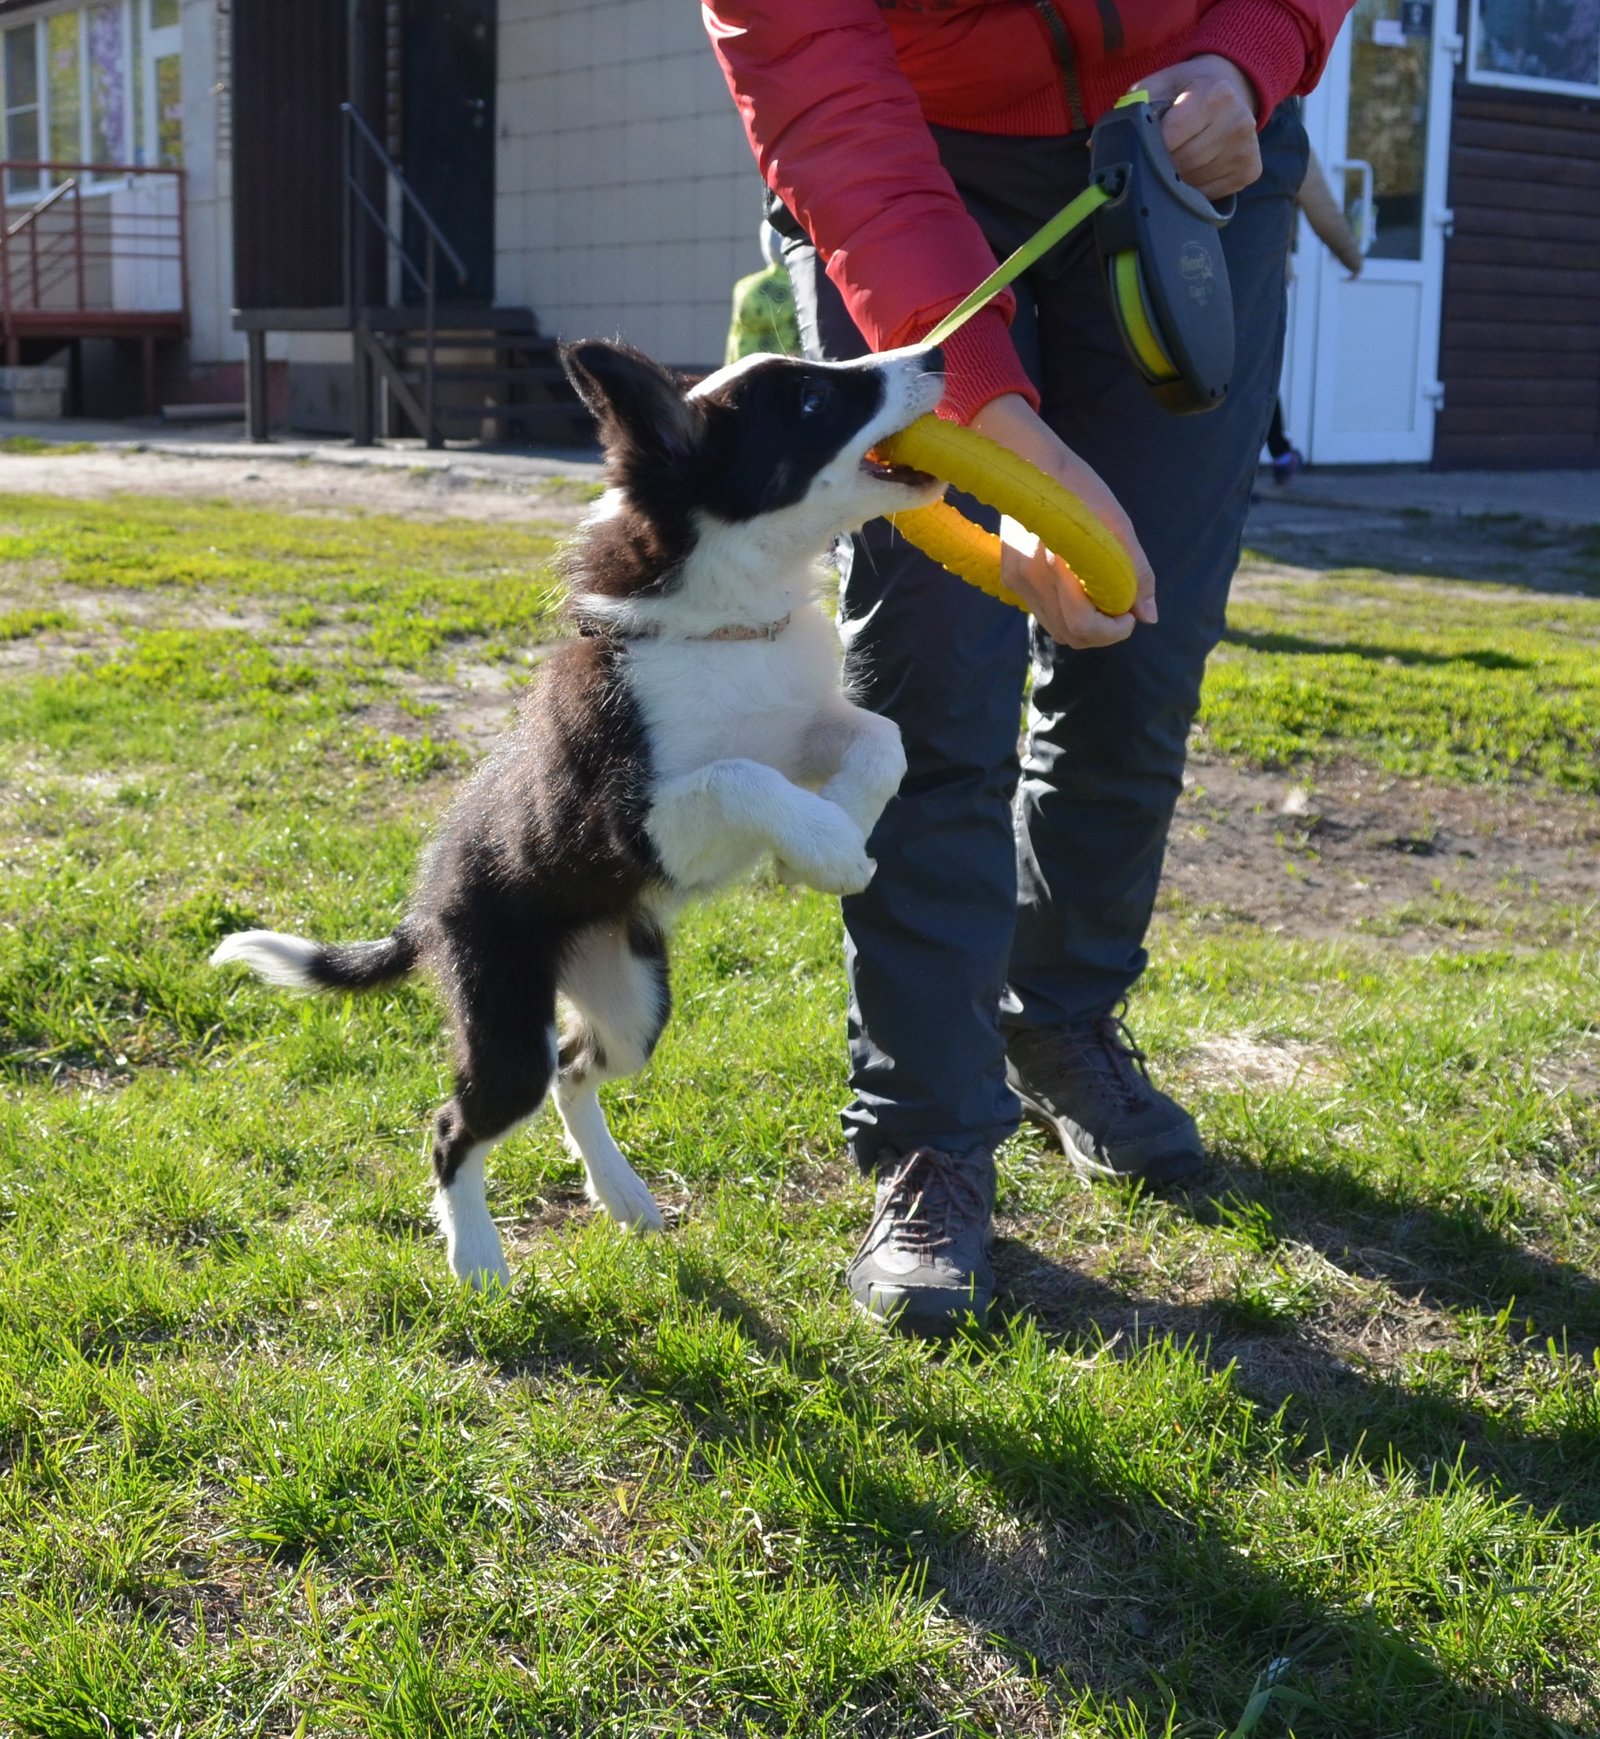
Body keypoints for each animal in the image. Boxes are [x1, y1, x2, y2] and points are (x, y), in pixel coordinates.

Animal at [206, 342, 946, 1293]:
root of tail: (424, 910)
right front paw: (825, 847)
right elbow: (735, 775)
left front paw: (834, 834)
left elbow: (880, 739)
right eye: (813, 399)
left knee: (573, 1067)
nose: (937, 356)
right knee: (458, 1122)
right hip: (502, 1006)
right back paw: (477, 1257)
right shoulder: (631, 819)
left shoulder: (803, 726)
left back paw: (621, 1191)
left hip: (633, 1001)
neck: (732, 612)